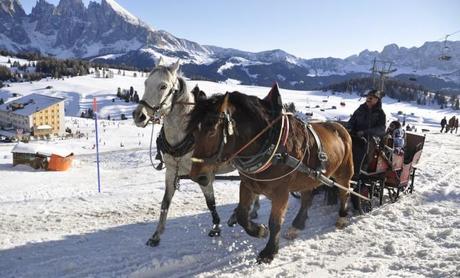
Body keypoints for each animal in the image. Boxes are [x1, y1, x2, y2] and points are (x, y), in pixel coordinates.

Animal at [133, 58, 258, 245]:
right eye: (146, 82)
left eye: (163, 86)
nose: (138, 115)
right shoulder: (171, 171)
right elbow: (165, 203)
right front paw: (156, 235)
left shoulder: (204, 175)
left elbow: (210, 203)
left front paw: (216, 227)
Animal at [187, 85, 352, 262]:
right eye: (194, 133)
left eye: (211, 131)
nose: (197, 176)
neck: (271, 145)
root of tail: (340, 127)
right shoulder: (247, 184)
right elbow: (242, 215)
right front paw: (260, 231)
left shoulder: (281, 192)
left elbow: (275, 222)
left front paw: (269, 251)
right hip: (308, 177)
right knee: (307, 198)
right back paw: (296, 226)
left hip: (344, 172)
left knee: (345, 191)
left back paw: (342, 217)